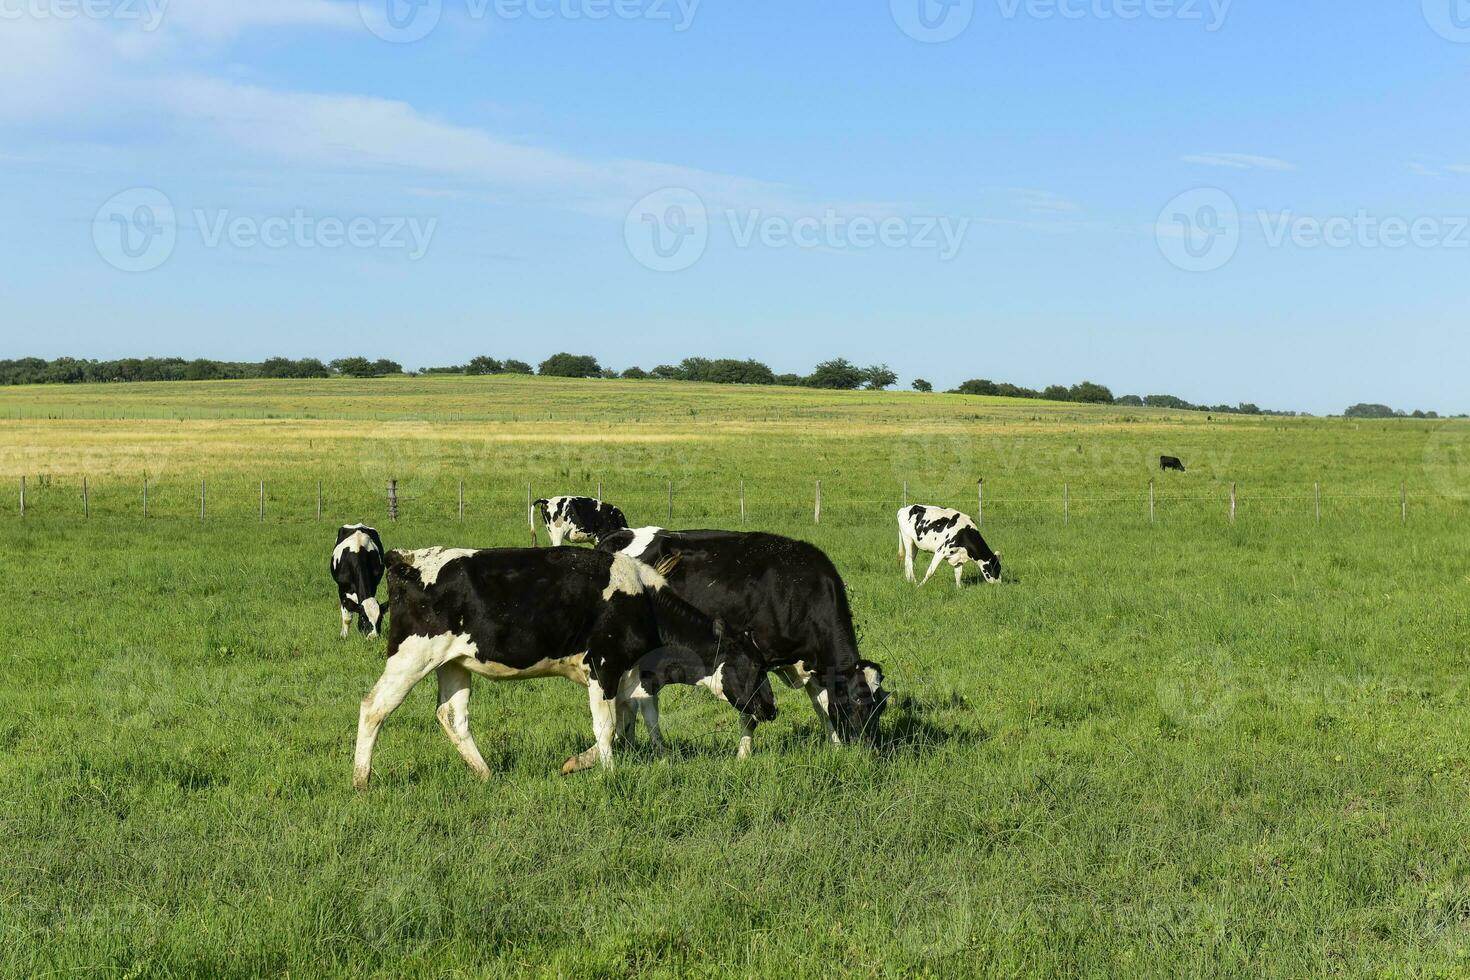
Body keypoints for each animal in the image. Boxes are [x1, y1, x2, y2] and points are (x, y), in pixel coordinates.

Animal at [349, 549, 776, 793]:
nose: (771, 709)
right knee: (374, 707)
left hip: (453, 664)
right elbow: (606, 727)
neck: (643, 600)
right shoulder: (602, 667)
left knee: (452, 716)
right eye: (755, 666)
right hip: (411, 657)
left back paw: (486, 775)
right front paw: (608, 774)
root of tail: (406, 558)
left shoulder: (630, 675)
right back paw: (361, 781)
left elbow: (634, 723)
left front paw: (587, 762)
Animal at [593, 528, 882, 752]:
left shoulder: (812, 664)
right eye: (856, 704)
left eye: (881, 709)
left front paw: (836, 748)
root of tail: (620, 534)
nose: (870, 752)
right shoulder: (751, 658)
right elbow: (750, 711)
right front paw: (743, 755)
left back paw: (628, 742)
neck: (797, 591)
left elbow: (822, 706)